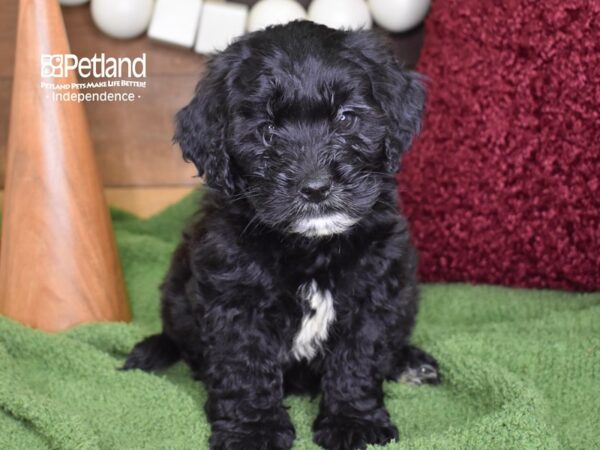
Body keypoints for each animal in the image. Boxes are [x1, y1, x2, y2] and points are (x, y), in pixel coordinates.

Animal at [124, 19, 438, 448]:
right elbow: (245, 367)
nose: (316, 187)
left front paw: (354, 421)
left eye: (345, 119)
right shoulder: (235, 300)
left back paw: (409, 362)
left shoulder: (373, 290)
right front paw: (253, 430)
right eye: (267, 132)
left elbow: (358, 357)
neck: (311, 247)